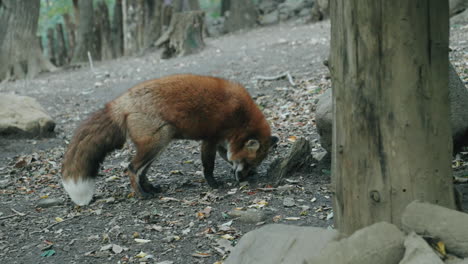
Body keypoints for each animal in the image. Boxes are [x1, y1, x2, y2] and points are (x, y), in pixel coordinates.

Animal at [60, 74, 276, 206]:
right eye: (247, 162)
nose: (244, 178)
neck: (239, 114)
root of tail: (119, 103)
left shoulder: (224, 142)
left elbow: (226, 158)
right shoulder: (210, 138)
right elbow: (208, 166)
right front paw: (213, 184)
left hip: (159, 144)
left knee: (142, 171)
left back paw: (150, 188)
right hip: (161, 137)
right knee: (132, 168)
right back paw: (142, 195)